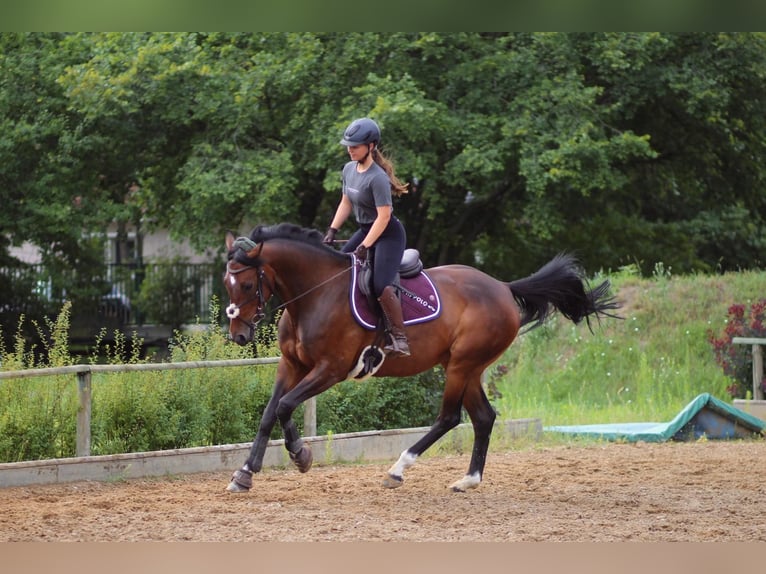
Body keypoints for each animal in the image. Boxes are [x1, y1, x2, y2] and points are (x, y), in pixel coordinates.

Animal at [222, 224, 616, 496]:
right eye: (227, 284)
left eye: (246, 285)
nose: (238, 335)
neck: (316, 293)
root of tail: (503, 287)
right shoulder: (291, 365)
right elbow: (270, 413)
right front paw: (245, 473)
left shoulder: (329, 370)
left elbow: (285, 406)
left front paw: (301, 456)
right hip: (465, 367)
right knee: (483, 417)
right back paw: (468, 480)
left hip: (461, 366)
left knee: (449, 418)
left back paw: (398, 469)